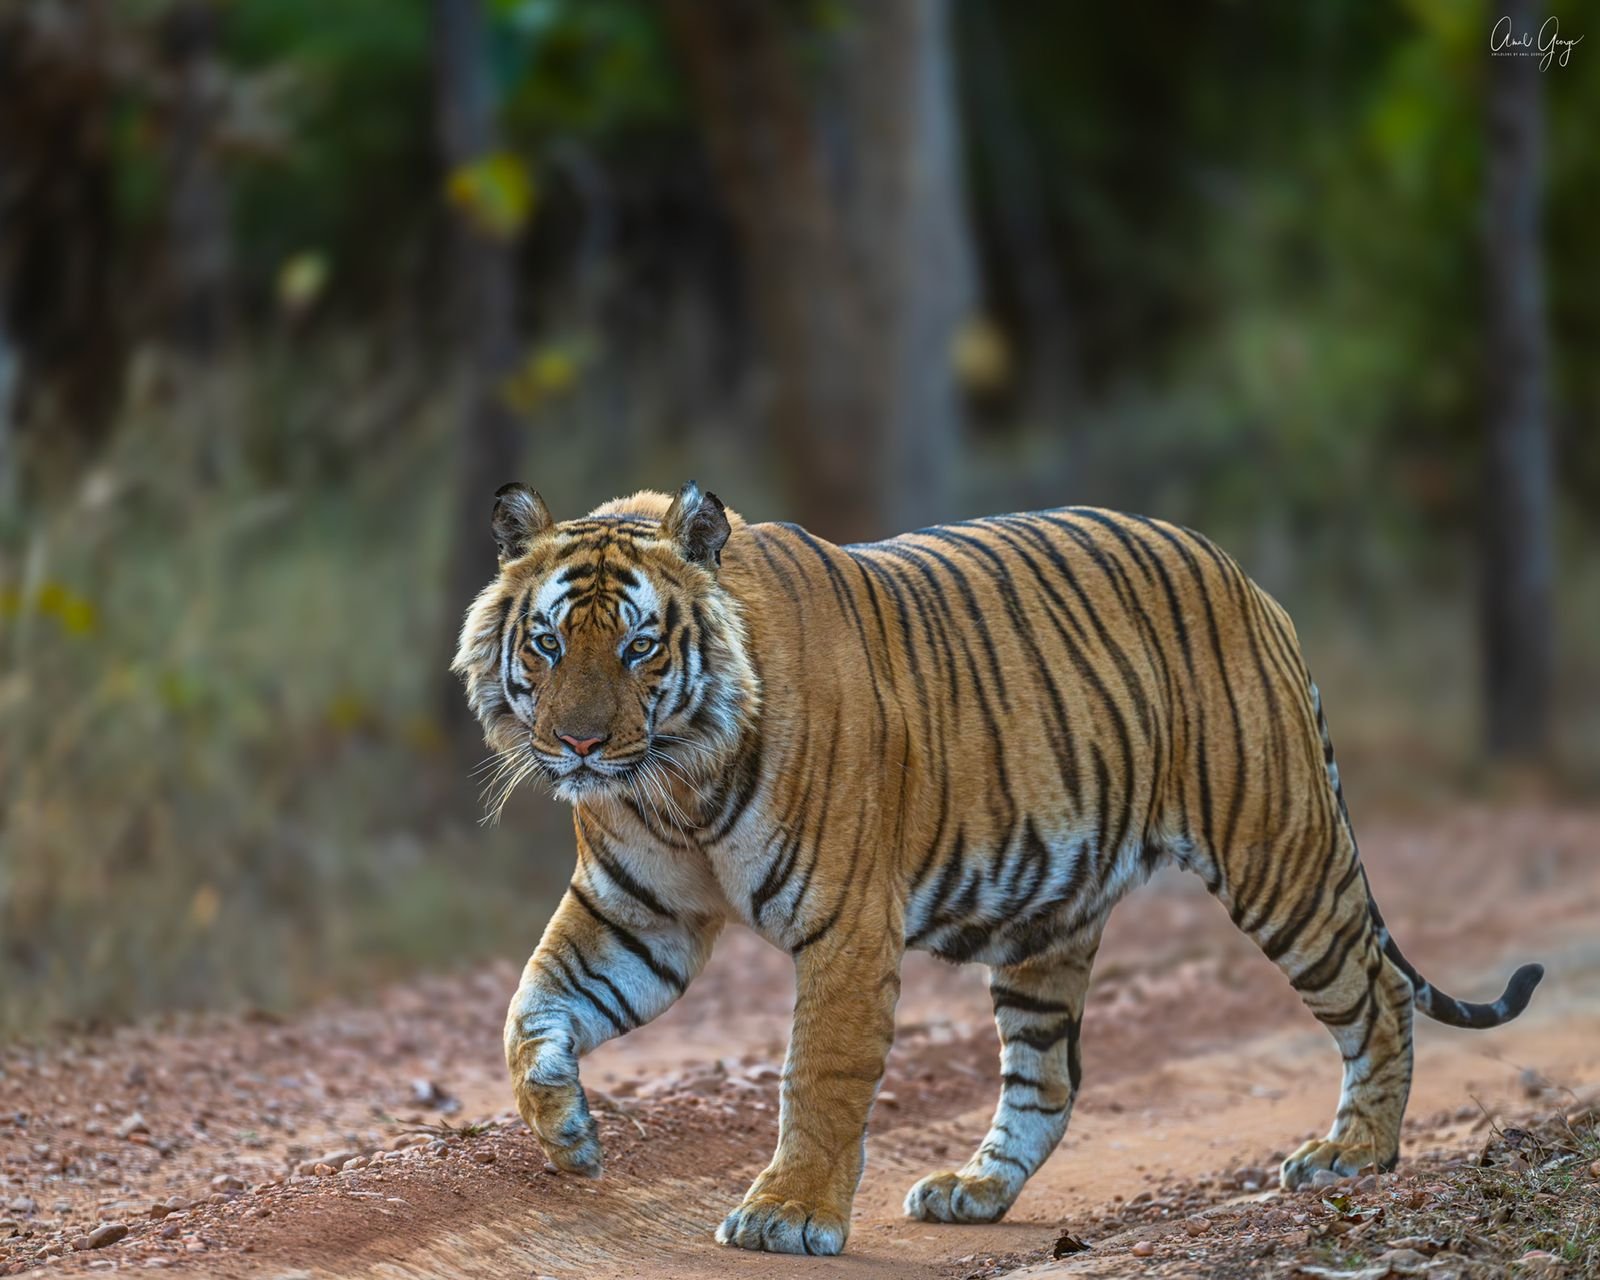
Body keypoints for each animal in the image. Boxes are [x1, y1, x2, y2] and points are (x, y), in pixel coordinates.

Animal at [452, 480, 1543, 1257]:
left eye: (641, 648)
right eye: (546, 642)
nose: (580, 746)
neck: (673, 785)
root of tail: (1246, 581)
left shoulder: (846, 923)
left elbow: (820, 1073)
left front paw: (789, 1214)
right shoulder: (637, 915)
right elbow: (529, 1010)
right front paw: (567, 1135)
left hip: (1278, 854)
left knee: (1375, 992)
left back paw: (1352, 1151)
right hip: (1046, 921)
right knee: (1047, 1077)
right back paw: (973, 1189)